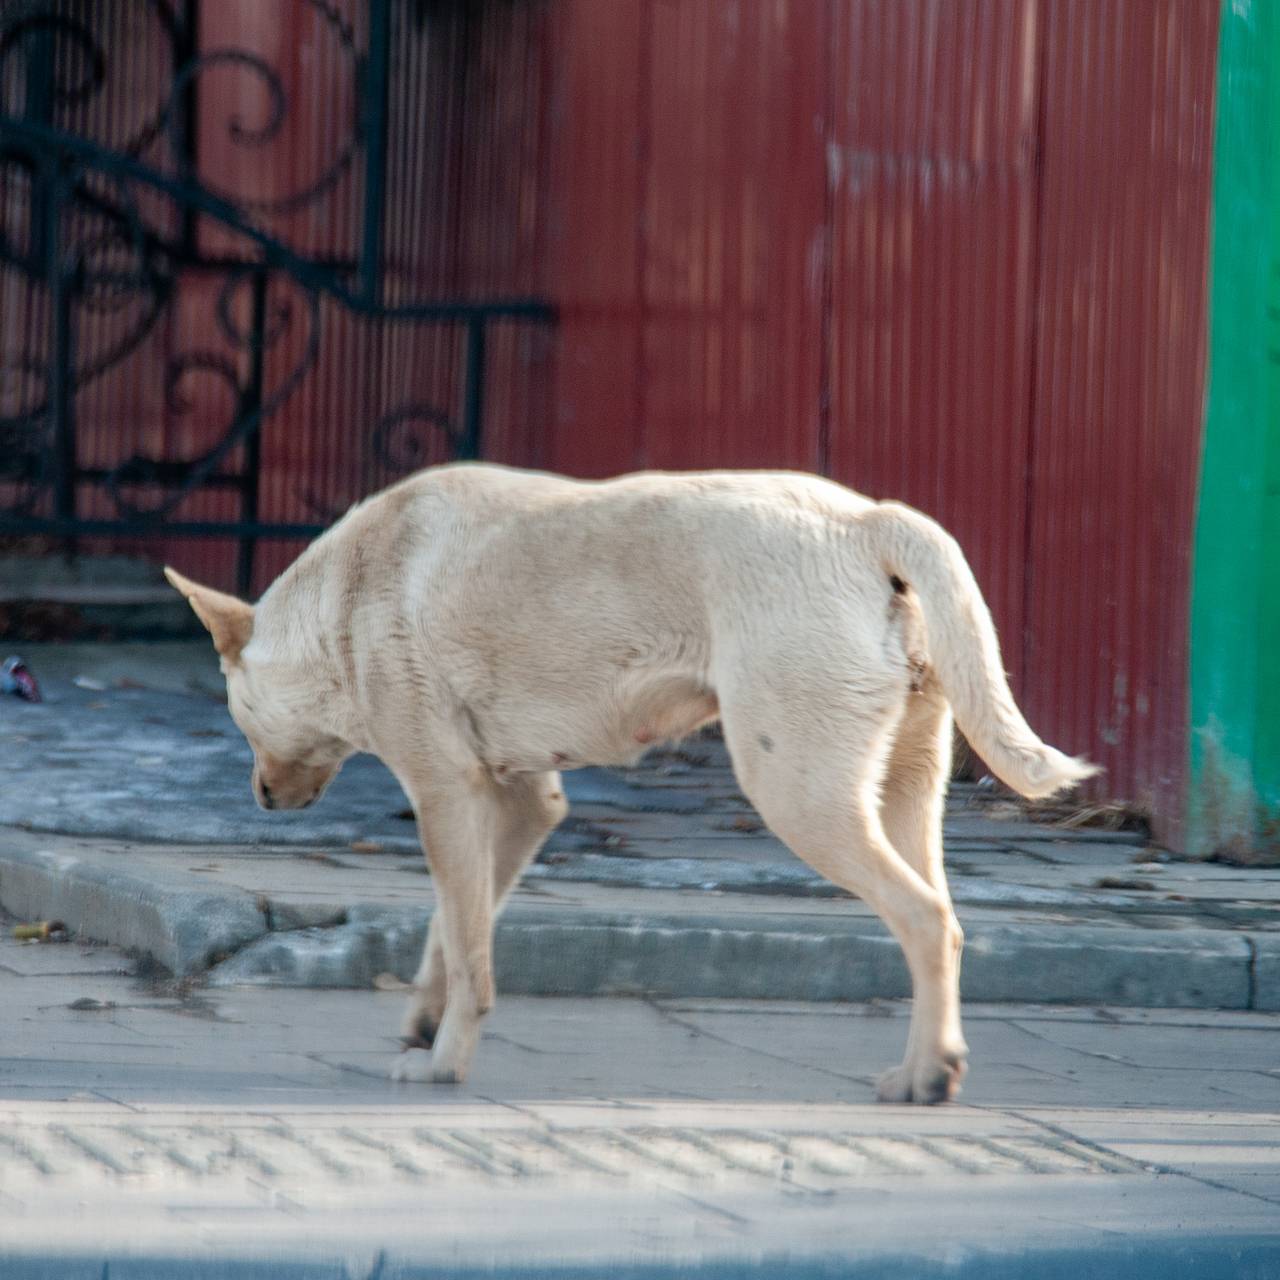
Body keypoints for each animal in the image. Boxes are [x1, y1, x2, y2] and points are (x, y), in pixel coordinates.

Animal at [165, 465, 1095, 1105]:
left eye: (236, 712)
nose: (261, 799)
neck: (341, 604)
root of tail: (865, 521)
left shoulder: (444, 793)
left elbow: (468, 951)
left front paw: (444, 1063)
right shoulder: (519, 804)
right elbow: (455, 929)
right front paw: (425, 1024)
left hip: (801, 796)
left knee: (925, 919)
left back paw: (927, 1076)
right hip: (904, 793)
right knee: (946, 921)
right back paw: (927, 1065)